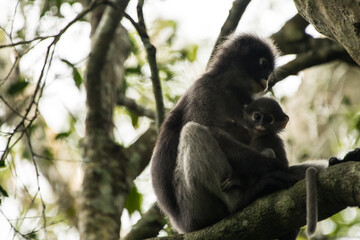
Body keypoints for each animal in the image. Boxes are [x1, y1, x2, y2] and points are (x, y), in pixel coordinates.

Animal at [150, 33, 360, 238]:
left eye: (269, 70)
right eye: (264, 65)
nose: (266, 80)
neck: (229, 89)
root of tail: (180, 225)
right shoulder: (202, 89)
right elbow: (213, 131)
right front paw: (275, 167)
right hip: (194, 209)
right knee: (193, 131)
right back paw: (242, 198)